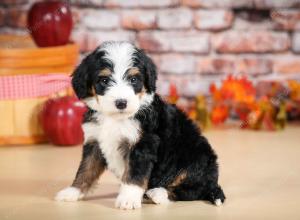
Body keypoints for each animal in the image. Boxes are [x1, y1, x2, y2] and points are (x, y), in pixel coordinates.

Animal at [55, 41, 225, 210]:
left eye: (133, 80)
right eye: (104, 81)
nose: (121, 103)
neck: (116, 118)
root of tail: (213, 181)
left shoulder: (143, 143)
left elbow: (134, 174)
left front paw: (128, 199)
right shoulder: (94, 141)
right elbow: (86, 169)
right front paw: (73, 191)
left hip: (195, 157)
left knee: (191, 190)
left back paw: (157, 193)